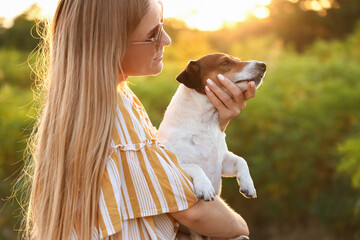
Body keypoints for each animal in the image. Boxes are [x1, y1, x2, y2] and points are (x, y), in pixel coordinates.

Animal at [157, 53, 264, 239]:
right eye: (225, 62)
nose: (263, 65)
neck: (204, 123)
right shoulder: (174, 162)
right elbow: (195, 166)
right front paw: (205, 187)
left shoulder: (222, 161)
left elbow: (241, 160)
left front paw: (248, 184)